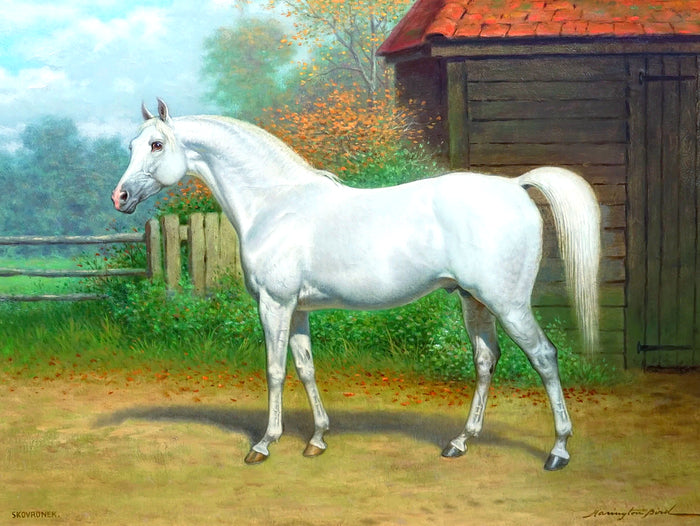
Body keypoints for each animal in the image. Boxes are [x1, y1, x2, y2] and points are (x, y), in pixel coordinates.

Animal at [112, 99, 600, 471]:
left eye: (156, 144)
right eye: (132, 144)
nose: (119, 197)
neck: (275, 203)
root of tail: (516, 186)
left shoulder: (274, 304)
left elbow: (274, 371)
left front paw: (264, 444)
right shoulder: (298, 309)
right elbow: (306, 367)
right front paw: (317, 439)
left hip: (509, 303)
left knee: (544, 357)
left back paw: (558, 451)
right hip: (473, 301)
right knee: (485, 361)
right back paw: (460, 442)